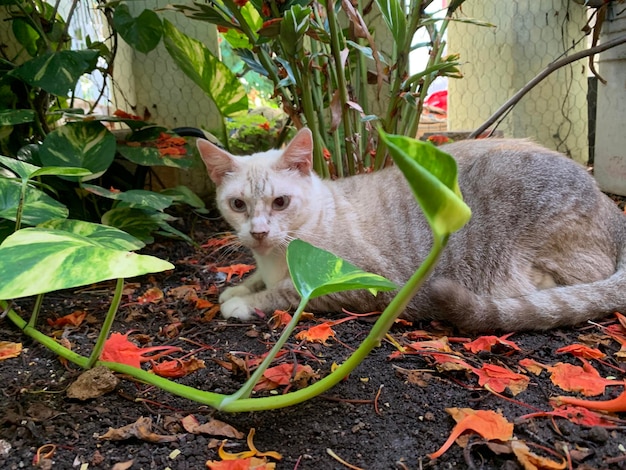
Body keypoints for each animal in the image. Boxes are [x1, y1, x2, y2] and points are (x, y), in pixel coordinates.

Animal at [197, 129, 624, 332]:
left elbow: (284, 292)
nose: (258, 232)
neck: (275, 256)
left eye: (280, 203)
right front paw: (237, 289)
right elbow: (254, 281)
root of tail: (609, 203)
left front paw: (241, 303)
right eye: (238, 205)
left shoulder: (354, 279)